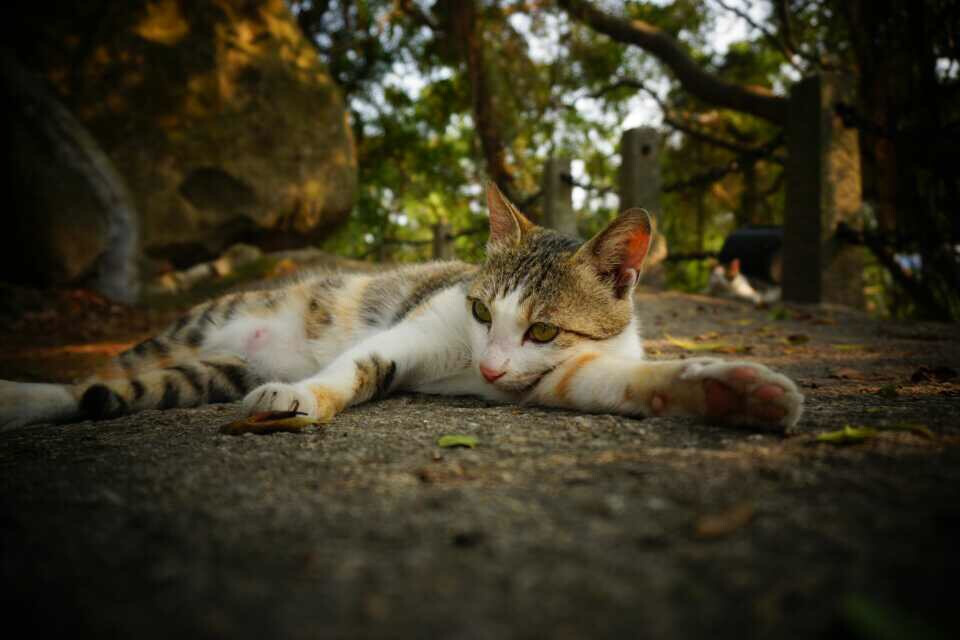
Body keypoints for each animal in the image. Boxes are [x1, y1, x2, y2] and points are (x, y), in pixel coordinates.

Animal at [0, 182, 804, 432]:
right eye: (480, 312)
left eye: (543, 328)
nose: (489, 369)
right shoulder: (411, 333)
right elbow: (356, 367)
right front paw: (302, 396)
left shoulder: (562, 375)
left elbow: (625, 384)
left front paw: (737, 392)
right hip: (196, 326)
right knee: (85, 380)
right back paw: (19, 397)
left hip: (207, 370)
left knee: (106, 391)